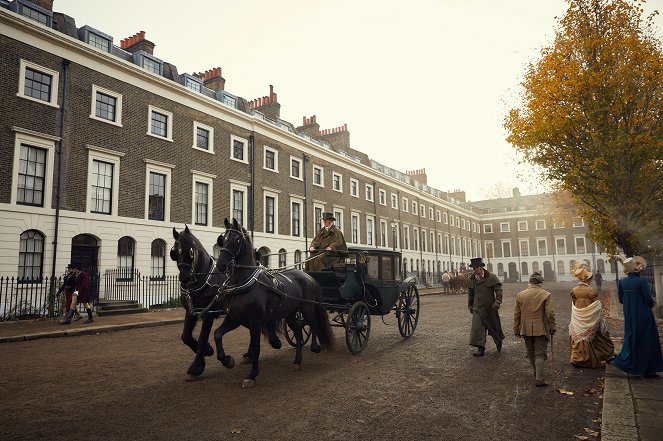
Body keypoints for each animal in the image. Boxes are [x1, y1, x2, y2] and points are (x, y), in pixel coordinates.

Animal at [171, 225, 282, 376]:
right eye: (175, 252)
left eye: (191, 252)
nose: (184, 277)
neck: (204, 280)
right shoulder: (191, 311)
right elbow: (186, 336)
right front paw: (207, 351)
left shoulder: (209, 314)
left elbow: (202, 337)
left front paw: (197, 365)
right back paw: (251, 353)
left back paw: (270, 342)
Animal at [215, 217, 334, 384]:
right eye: (223, 239)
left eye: (236, 239)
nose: (221, 264)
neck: (244, 283)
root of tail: (308, 276)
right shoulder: (234, 318)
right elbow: (217, 334)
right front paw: (227, 360)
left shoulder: (255, 321)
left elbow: (256, 348)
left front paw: (252, 374)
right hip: (290, 314)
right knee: (298, 332)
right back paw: (297, 361)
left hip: (307, 309)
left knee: (314, 324)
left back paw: (315, 347)